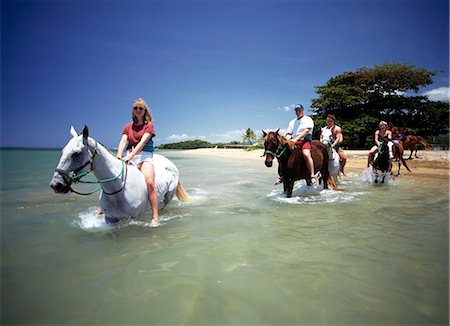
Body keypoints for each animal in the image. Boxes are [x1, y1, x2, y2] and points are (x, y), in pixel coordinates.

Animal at [49, 125, 188, 224]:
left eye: (76, 153)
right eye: (63, 151)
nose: (56, 184)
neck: (118, 190)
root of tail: (171, 163)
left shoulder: (137, 217)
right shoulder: (110, 219)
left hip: (168, 196)